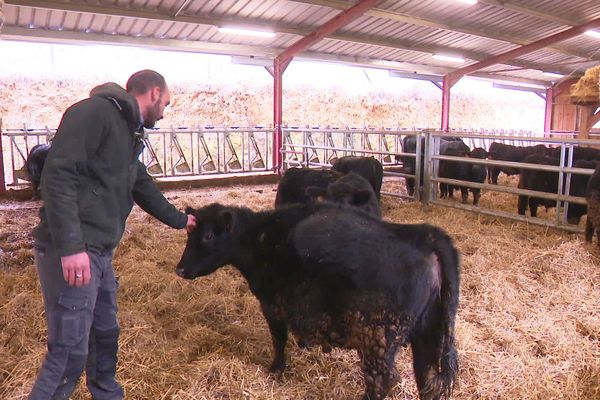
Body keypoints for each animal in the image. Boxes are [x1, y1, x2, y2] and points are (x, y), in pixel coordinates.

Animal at [177, 203, 460, 400]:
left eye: (208, 236)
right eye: (190, 234)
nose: (180, 269)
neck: (263, 238)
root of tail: (423, 235)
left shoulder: (273, 306)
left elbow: (279, 340)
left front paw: (276, 368)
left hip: (379, 337)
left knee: (382, 381)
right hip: (428, 333)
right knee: (429, 381)